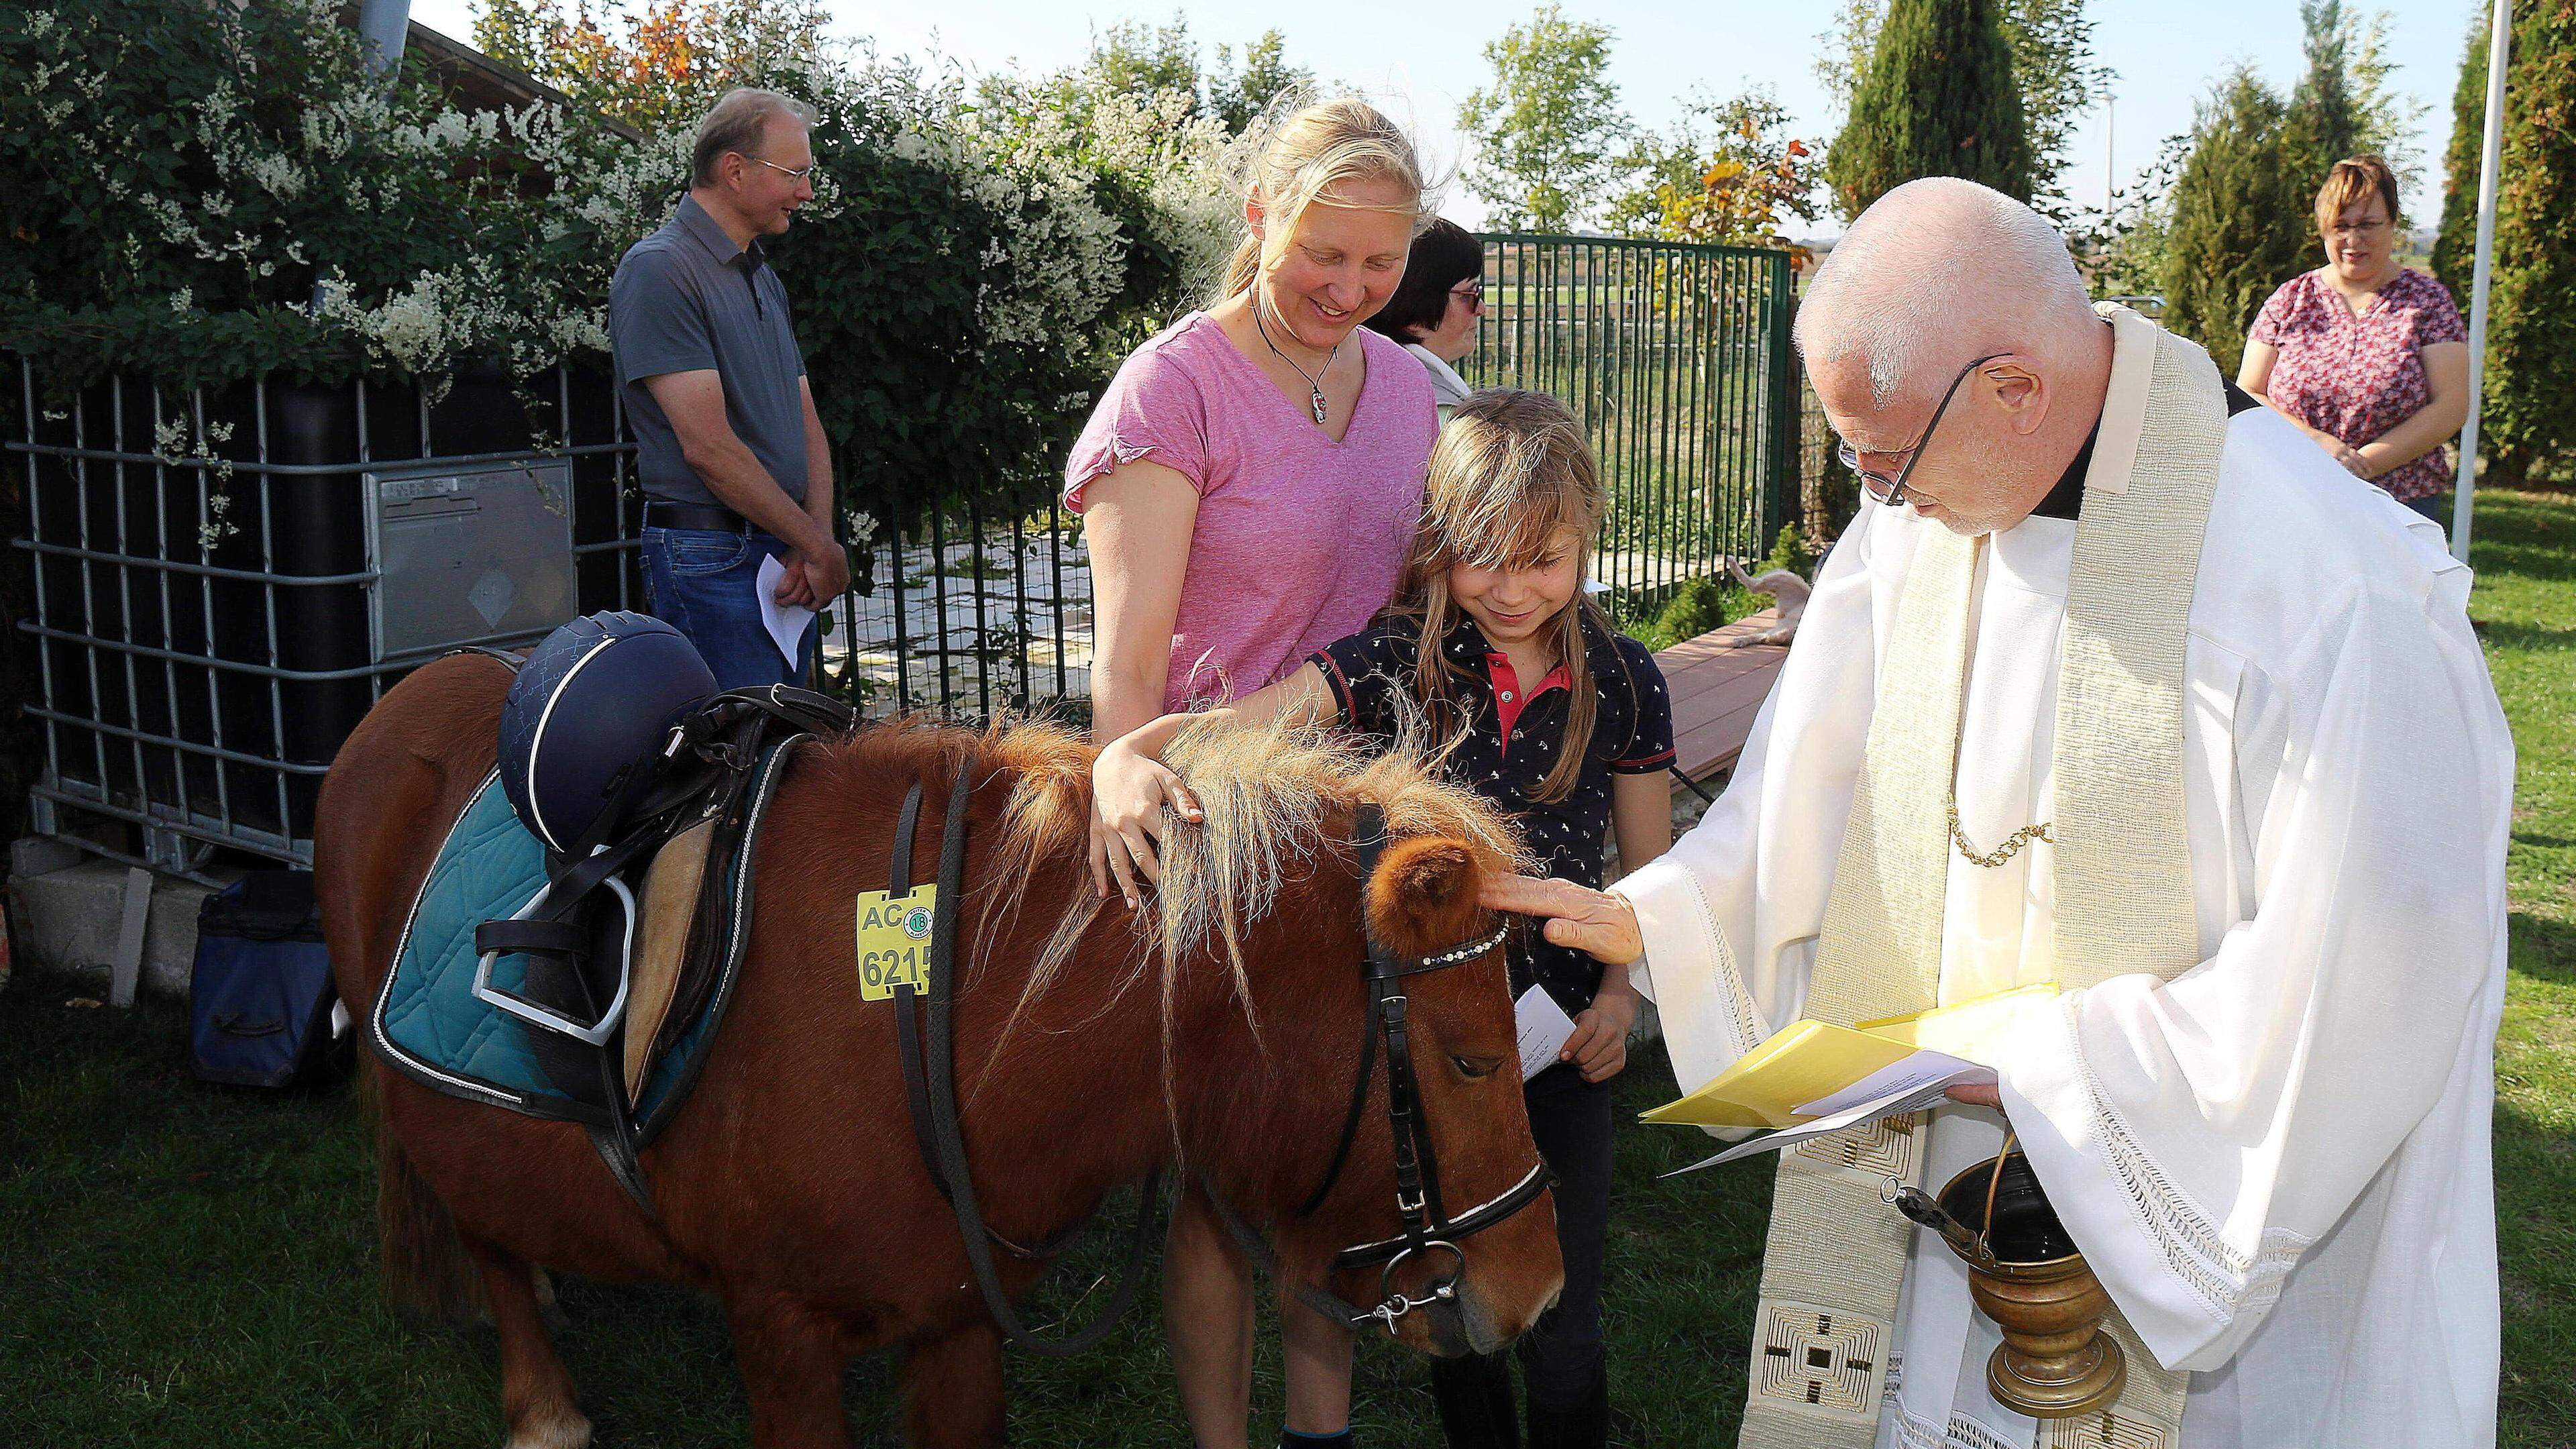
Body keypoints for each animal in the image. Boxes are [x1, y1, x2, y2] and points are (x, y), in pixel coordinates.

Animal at [322, 655, 1566, 1444]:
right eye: (1470, 1061)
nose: (1539, 1293)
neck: (934, 1013)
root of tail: (405, 696)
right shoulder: (779, 1338)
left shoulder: (961, 1329)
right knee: (481, 1228)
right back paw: (543, 1405)